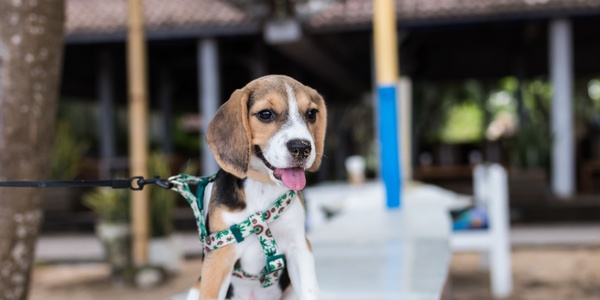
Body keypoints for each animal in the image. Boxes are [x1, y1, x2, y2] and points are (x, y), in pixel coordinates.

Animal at [189, 75, 326, 300]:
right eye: (266, 114)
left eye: (311, 114)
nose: (302, 147)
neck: (263, 185)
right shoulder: (219, 256)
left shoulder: (299, 247)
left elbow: (310, 291)